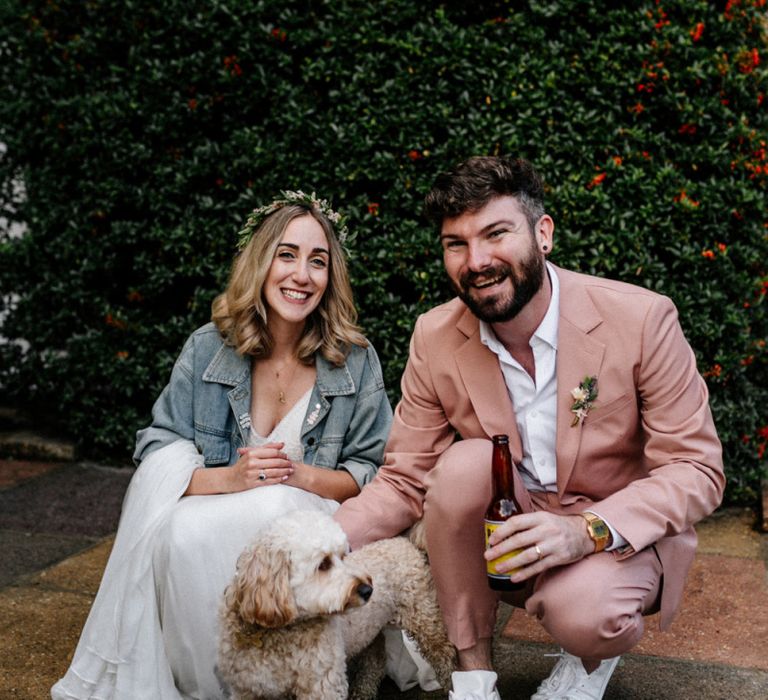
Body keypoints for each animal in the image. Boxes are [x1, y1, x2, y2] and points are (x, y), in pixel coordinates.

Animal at [214, 508, 456, 700]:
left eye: (343, 555)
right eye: (323, 564)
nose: (368, 589)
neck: (280, 633)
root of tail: (405, 541)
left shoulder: (322, 684)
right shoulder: (247, 689)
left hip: (425, 620)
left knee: (445, 656)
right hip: (369, 630)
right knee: (375, 660)